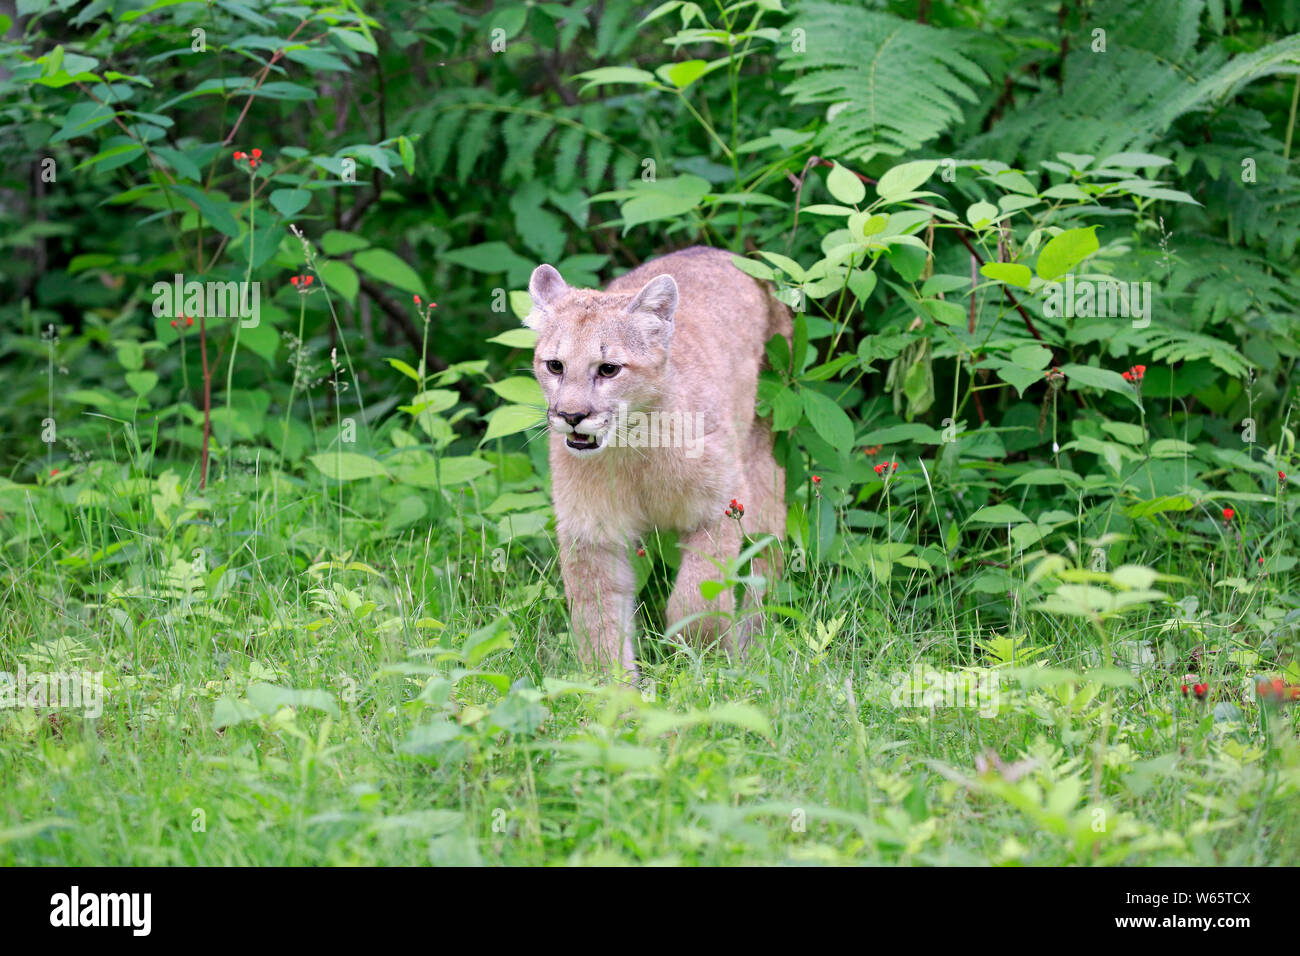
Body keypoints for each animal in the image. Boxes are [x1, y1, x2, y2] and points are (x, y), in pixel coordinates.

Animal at [525, 248, 790, 681]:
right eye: (555, 366)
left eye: (609, 369)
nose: (571, 415)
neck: (632, 447)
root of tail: (723, 253)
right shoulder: (593, 532)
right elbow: (598, 618)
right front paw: (613, 688)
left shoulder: (719, 507)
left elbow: (697, 596)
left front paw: (704, 663)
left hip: (762, 463)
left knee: (766, 554)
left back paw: (754, 644)